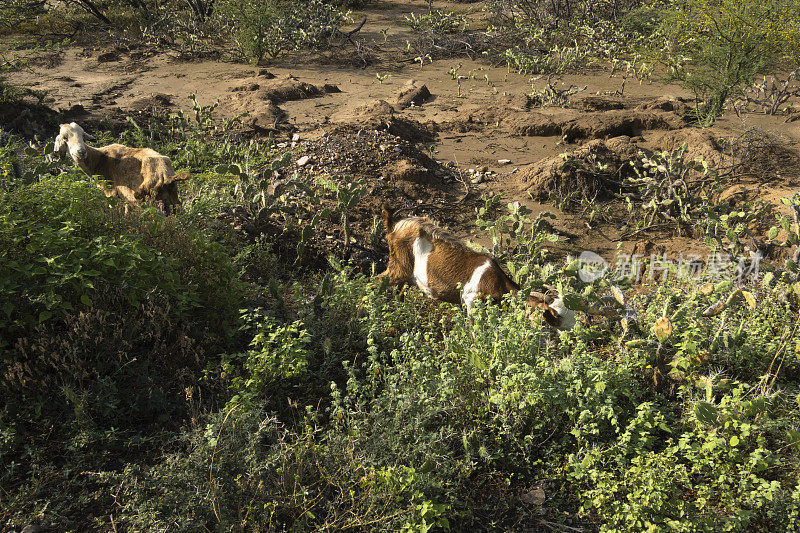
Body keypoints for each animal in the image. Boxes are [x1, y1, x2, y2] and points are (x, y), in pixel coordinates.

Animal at [54, 121, 189, 213]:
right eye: (65, 138)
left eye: (82, 136)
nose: (81, 152)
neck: (98, 160)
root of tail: (165, 175)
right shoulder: (126, 199)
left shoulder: (110, 193)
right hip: (172, 199)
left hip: (152, 200)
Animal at [376, 206, 576, 330]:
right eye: (557, 316)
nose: (572, 331)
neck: (498, 282)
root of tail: (394, 226)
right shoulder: (471, 300)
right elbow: (475, 331)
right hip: (397, 268)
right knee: (375, 282)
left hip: (405, 276)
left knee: (399, 292)